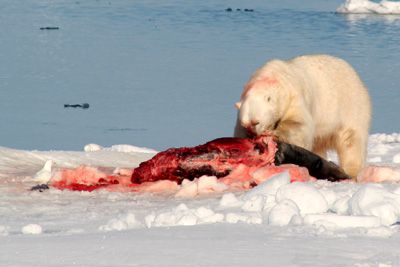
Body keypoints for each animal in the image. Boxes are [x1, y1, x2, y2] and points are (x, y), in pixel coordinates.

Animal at [234, 54, 372, 179]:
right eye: (246, 124)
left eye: (256, 122)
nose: (252, 135)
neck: (269, 79)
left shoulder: (294, 97)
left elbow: (299, 125)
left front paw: (275, 134)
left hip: (351, 105)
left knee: (351, 141)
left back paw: (351, 170)